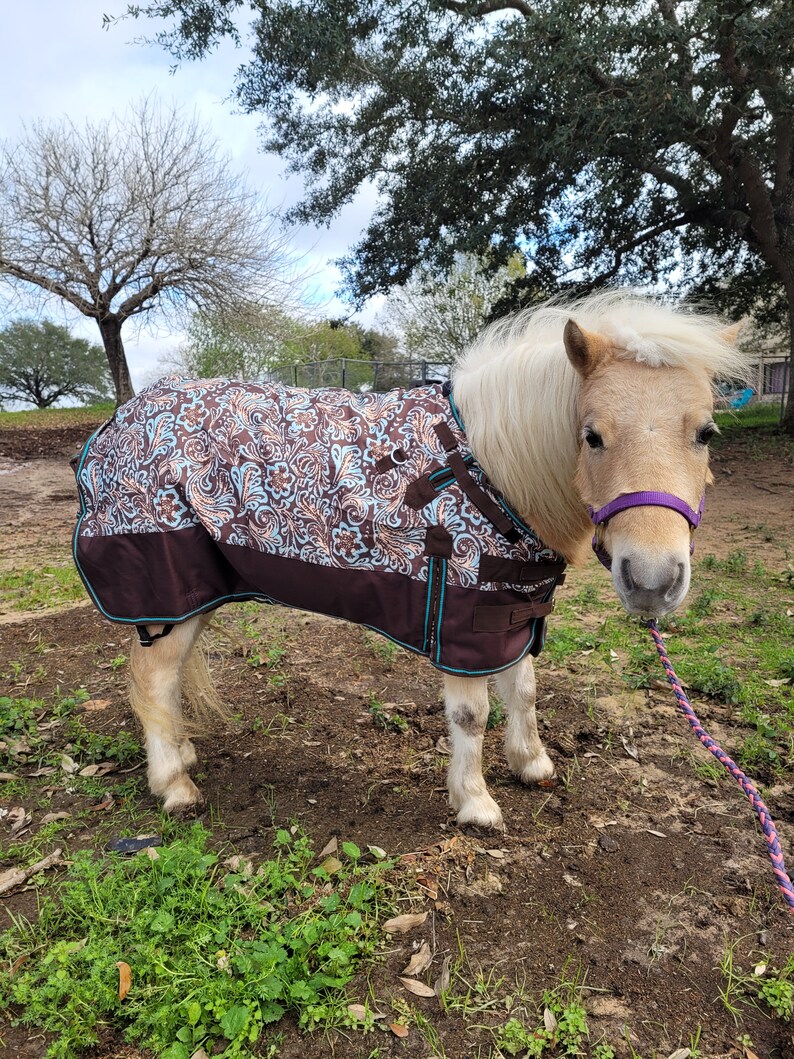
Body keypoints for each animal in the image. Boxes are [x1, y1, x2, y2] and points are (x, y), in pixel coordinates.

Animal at [72, 292, 745, 829]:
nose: (653, 580)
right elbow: (471, 713)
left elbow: (523, 690)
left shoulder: (512, 608)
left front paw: (532, 764)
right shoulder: (461, 620)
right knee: (152, 679)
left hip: (196, 595)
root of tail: (113, 426)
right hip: (166, 595)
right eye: (592, 435)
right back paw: (175, 785)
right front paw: (474, 802)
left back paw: (180, 751)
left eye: (706, 433)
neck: (489, 470)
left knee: (166, 683)